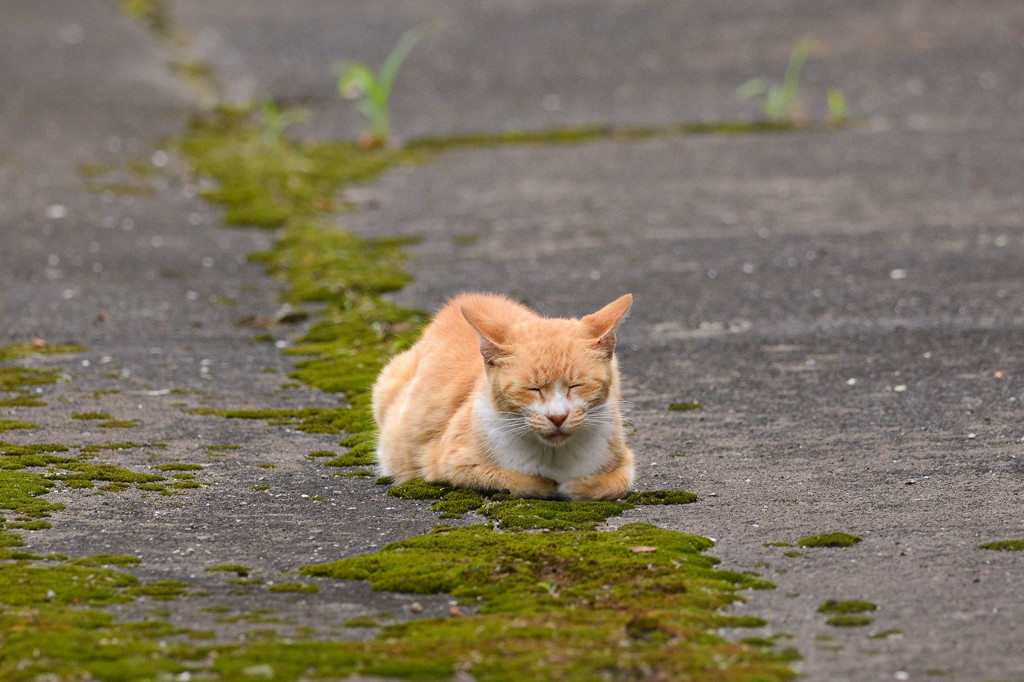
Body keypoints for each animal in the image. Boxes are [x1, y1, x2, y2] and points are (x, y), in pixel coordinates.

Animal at [372, 292, 634, 499]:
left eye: (576, 385)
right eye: (532, 389)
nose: (558, 417)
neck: (553, 454)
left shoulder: (624, 459)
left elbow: (617, 483)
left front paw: (577, 486)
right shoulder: (446, 462)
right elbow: (508, 478)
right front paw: (544, 485)